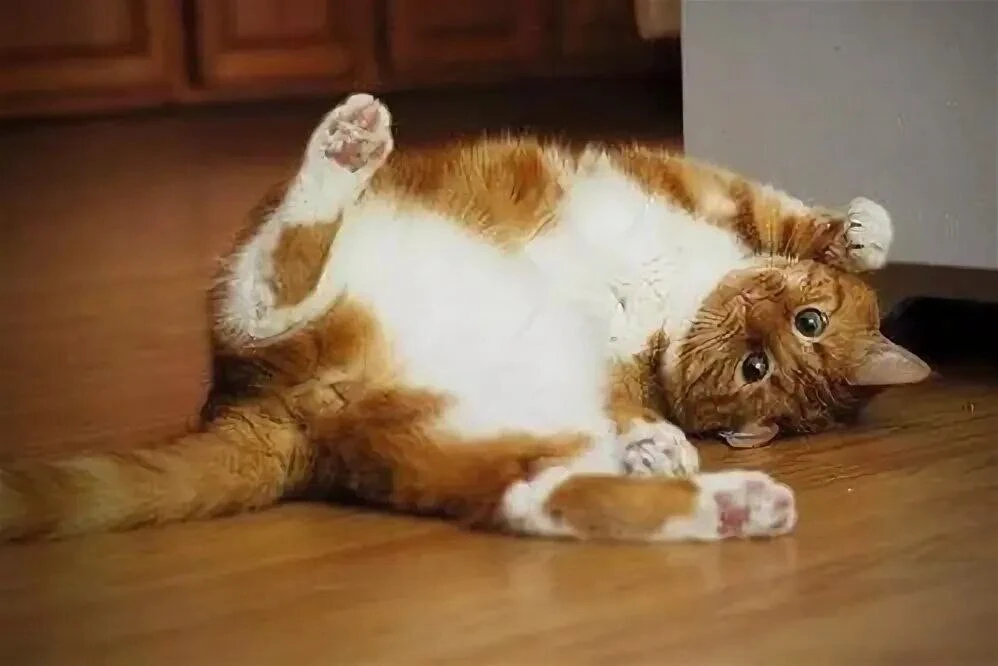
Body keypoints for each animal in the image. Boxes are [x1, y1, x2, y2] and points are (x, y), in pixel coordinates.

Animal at [0, 93, 931, 543]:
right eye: (800, 329)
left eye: (758, 368)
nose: (753, 316)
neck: (682, 295)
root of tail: (280, 406)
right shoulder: (692, 181)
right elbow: (783, 213)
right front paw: (861, 229)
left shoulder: (619, 366)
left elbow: (630, 401)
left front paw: (658, 439)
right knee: (271, 281)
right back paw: (345, 149)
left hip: (481, 427)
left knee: (533, 498)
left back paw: (734, 507)